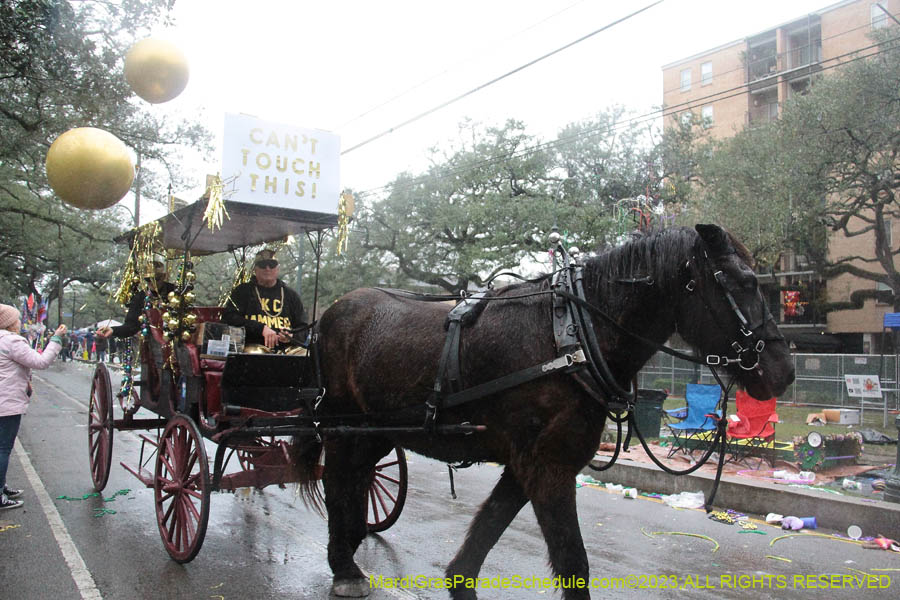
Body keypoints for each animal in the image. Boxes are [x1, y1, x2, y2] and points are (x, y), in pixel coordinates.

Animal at [298, 223, 796, 596]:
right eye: (745, 283)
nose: (783, 370)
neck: (571, 336)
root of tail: (328, 316)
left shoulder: (526, 465)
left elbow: (481, 542)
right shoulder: (548, 466)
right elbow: (574, 562)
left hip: (375, 431)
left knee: (358, 480)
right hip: (342, 426)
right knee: (339, 483)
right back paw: (345, 568)